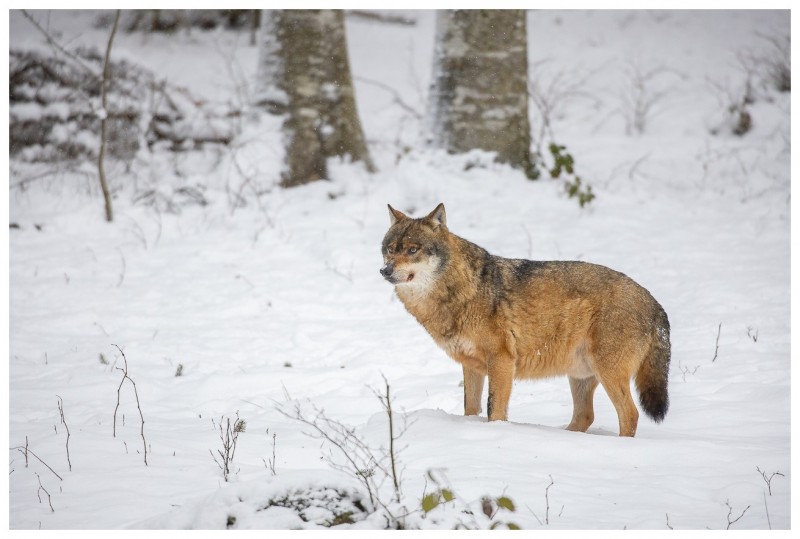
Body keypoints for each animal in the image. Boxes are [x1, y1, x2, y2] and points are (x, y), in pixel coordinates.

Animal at [382, 204, 668, 438]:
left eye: (413, 250)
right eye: (389, 249)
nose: (385, 270)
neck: (462, 289)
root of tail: (654, 302)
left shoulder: (501, 360)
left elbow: (494, 409)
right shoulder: (472, 366)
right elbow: (470, 409)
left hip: (607, 373)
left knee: (630, 414)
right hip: (581, 375)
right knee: (585, 416)